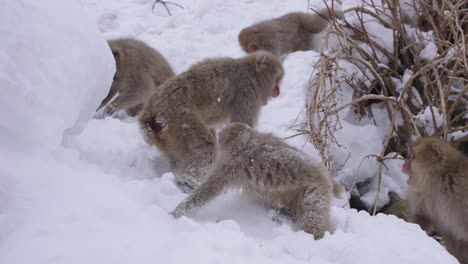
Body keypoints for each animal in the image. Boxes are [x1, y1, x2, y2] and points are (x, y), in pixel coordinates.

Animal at [139, 51, 284, 192]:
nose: (277, 91)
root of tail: (149, 110)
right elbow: (242, 124)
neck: (251, 71)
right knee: (205, 147)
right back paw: (186, 182)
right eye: (277, 80)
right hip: (176, 117)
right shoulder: (248, 92)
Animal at [172, 122, 336, 238]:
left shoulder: (231, 165)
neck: (248, 141)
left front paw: (177, 213)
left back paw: (317, 235)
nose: (219, 138)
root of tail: (326, 178)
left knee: (312, 219)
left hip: (315, 193)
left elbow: (209, 189)